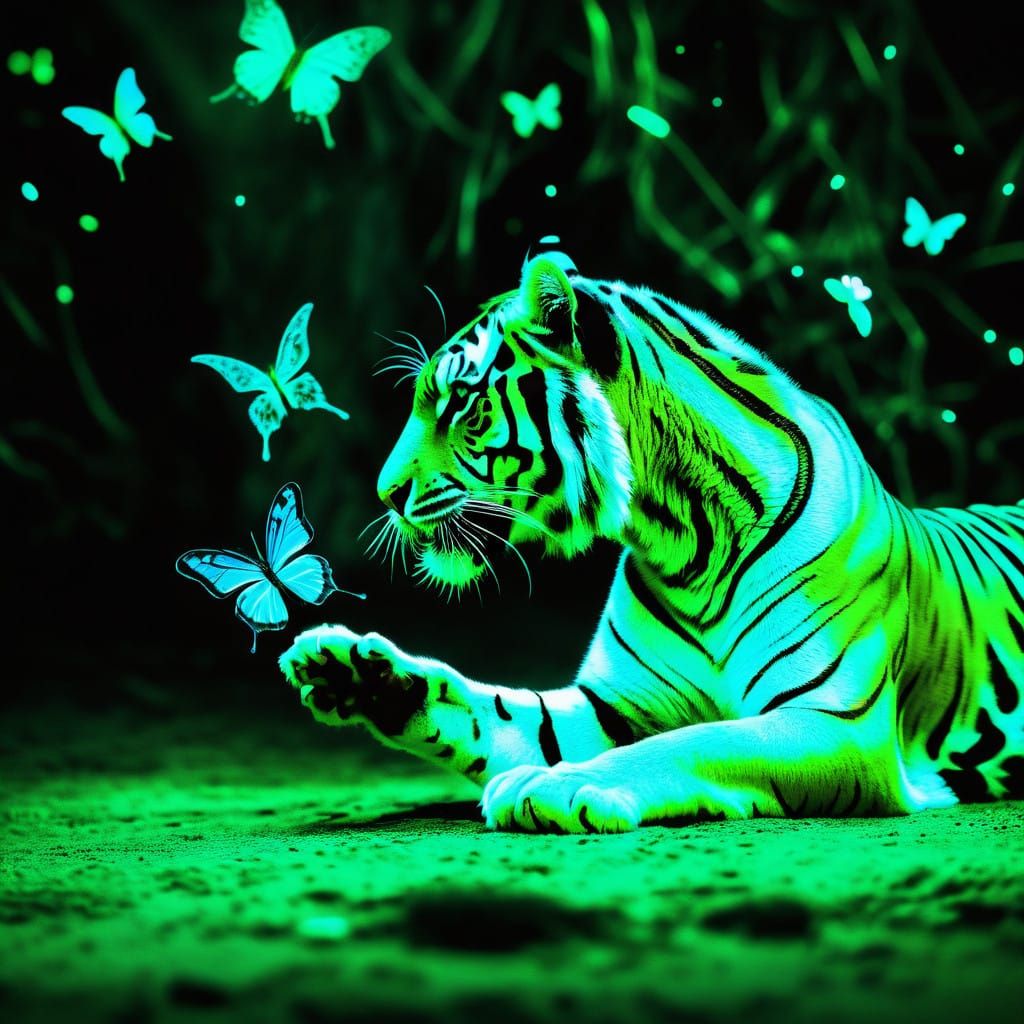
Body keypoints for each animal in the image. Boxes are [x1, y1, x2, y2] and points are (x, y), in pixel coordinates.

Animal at [279, 250, 1024, 833]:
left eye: (461, 404)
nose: (385, 494)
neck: (687, 540)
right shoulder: (611, 705)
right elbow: (484, 706)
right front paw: (353, 674)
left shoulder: (838, 723)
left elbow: (697, 741)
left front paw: (559, 785)